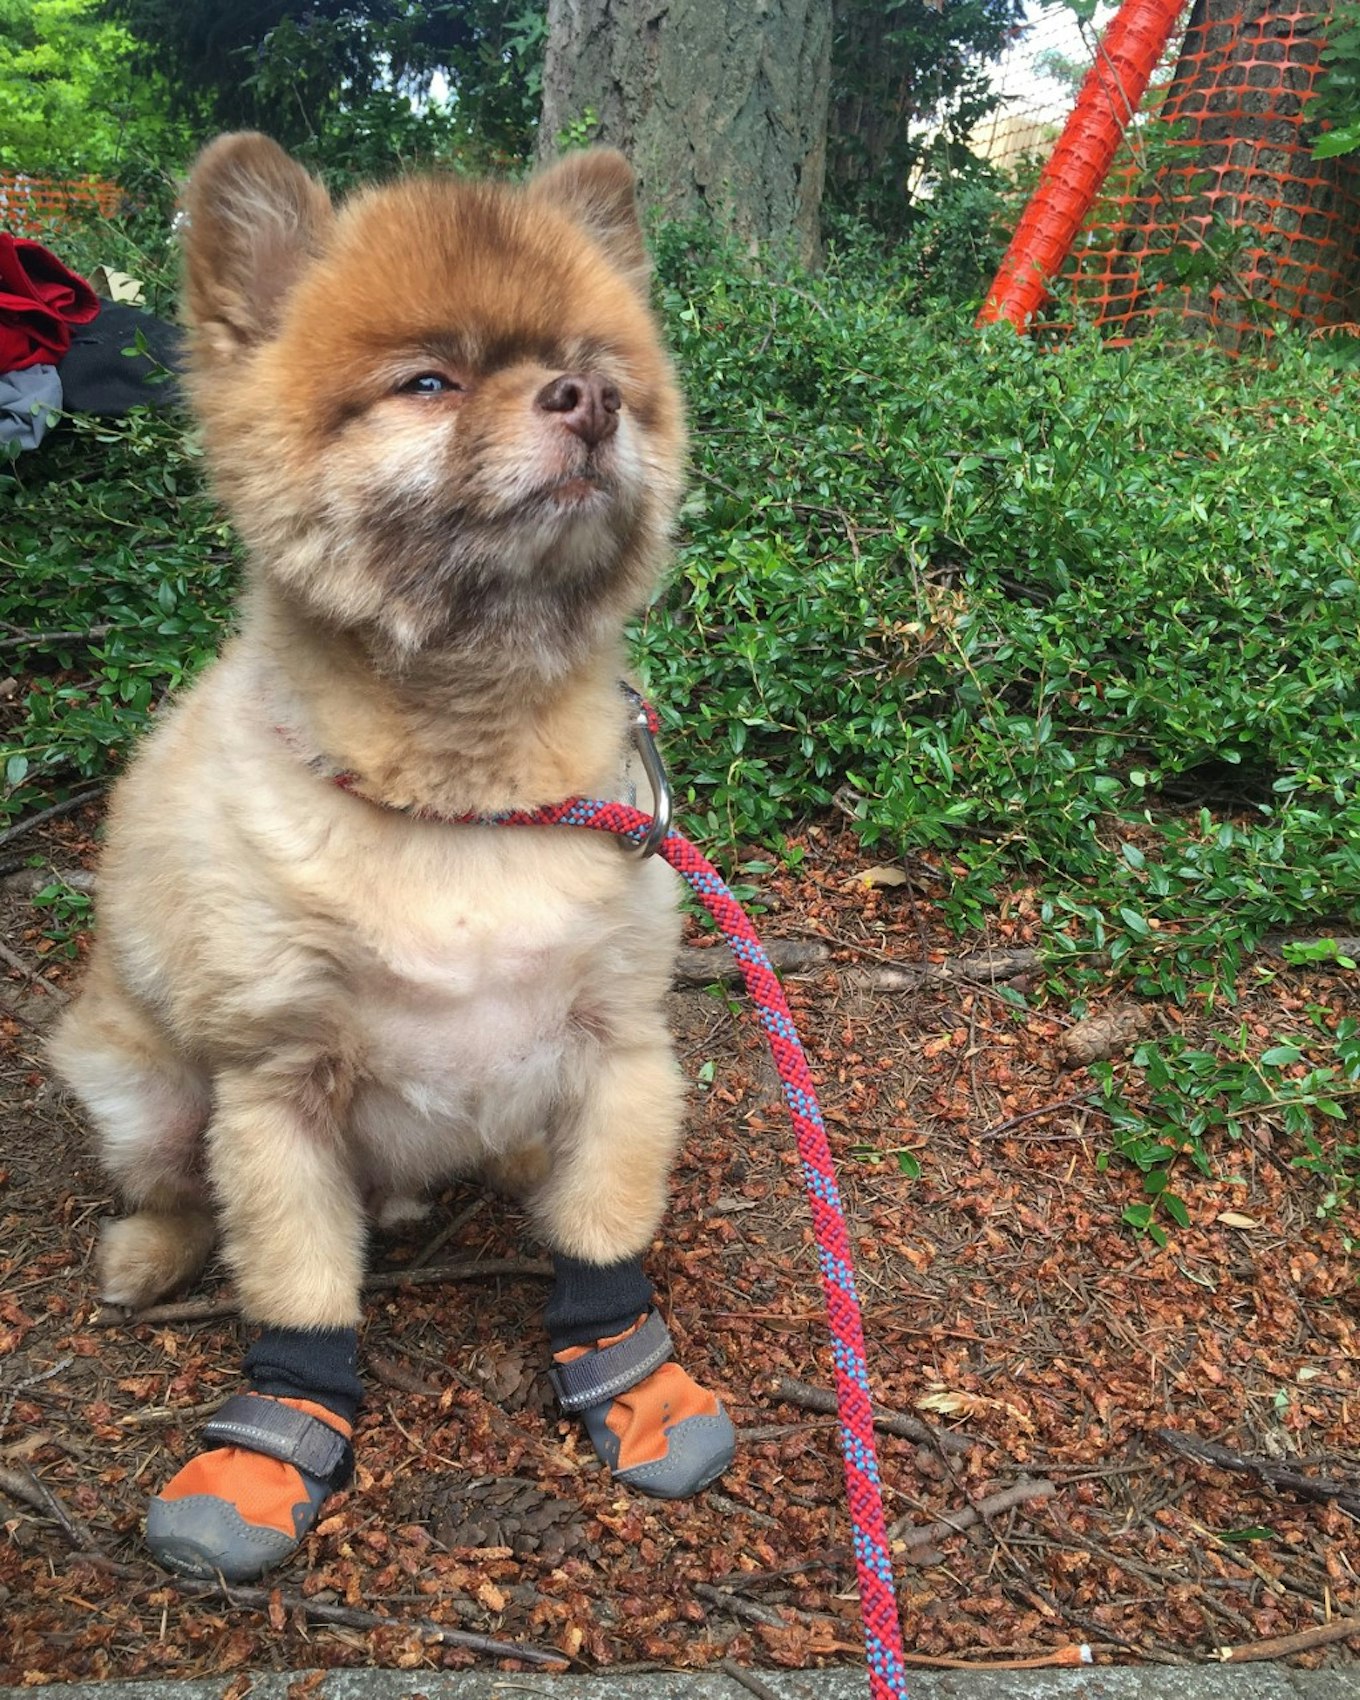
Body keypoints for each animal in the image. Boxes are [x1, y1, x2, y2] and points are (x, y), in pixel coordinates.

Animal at [50, 132, 734, 1577]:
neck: (464, 799)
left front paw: (629, 1373)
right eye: (428, 382)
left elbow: (606, 1225)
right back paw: (150, 1254)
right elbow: (299, 1287)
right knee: (177, 1187)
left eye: (589, 357)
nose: (588, 401)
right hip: (144, 1089)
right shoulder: (275, 1095)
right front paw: (273, 1444)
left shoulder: (622, 1048)